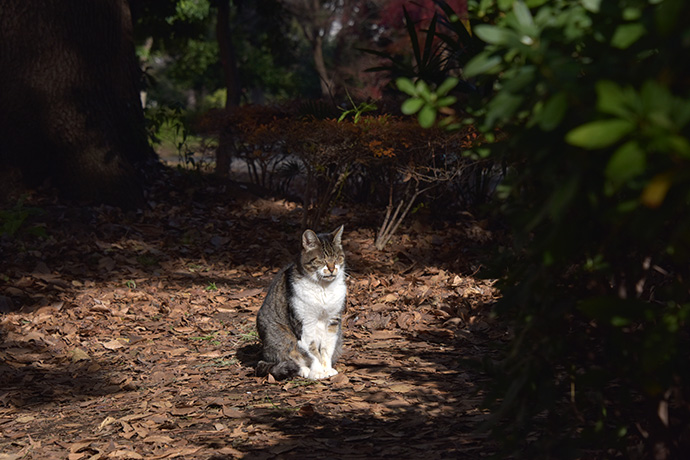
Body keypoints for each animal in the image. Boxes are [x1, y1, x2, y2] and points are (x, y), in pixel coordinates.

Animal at [255, 225, 346, 380]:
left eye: (337, 258)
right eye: (321, 260)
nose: (332, 268)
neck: (323, 288)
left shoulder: (333, 321)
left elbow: (326, 348)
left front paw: (327, 369)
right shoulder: (305, 323)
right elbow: (312, 351)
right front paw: (317, 372)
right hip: (279, 337)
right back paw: (304, 370)